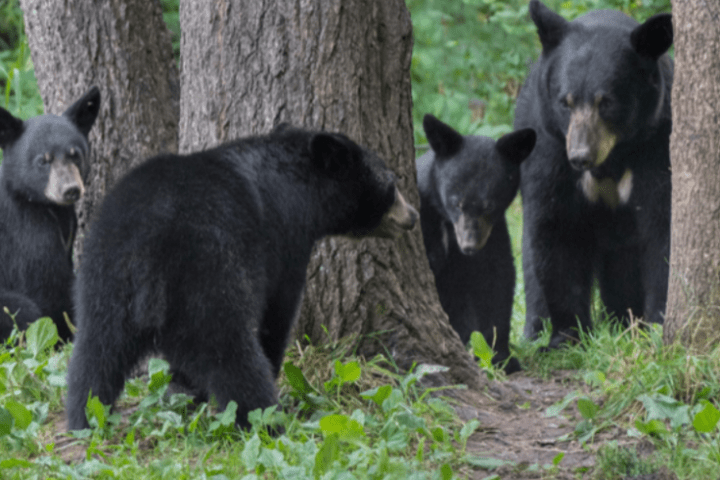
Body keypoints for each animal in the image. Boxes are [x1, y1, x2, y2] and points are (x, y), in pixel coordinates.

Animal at [0, 87, 100, 342]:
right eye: (43, 160)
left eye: (75, 154)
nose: (70, 189)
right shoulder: (25, 229)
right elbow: (47, 283)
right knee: (23, 310)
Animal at [66, 124, 418, 430]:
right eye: (392, 183)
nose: (412, 216)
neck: (299, 185)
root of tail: (147, 250)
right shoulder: (285, 239)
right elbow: (279, 311)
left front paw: (182, 391)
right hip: (208, 275)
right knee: (230, 353)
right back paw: (264, 419)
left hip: (104, 278)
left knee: (95, 353)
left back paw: (85, 416)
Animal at [416, 114, 536, 374]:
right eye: (457, 203)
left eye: (489, 205)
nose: (469, 246)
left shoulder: (494, 234)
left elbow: (496, 281)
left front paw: (501, 356)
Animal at [514, 0, 673, 348]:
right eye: (566, 101)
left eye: (606, 102)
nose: (580, 157)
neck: (611, 158)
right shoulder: (549, 147)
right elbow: (557, 229)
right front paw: (567, 335)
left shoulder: (656, 144)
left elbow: (662, 228)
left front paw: (657, 325)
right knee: (530, 260)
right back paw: (534, 330)